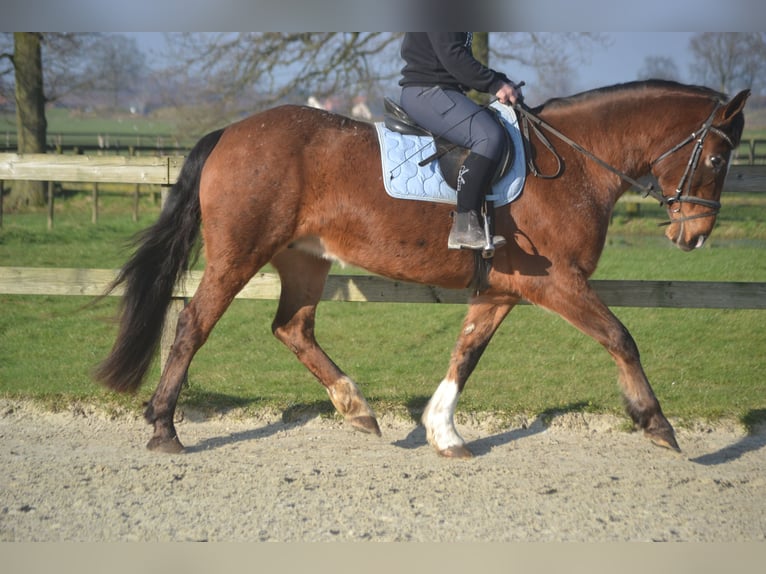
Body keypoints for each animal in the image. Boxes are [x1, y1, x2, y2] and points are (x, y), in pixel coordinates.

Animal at [94, 80, 752, 460]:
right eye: (719, 157)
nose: (693, 234)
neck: (570, 163)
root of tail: (232, 131)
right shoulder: (556, 282)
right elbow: (621, 336)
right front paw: (656, 423)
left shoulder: (504, 289)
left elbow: (467, 351)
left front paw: (444, 432)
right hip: (239, 255)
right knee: (192, 326)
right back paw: (164, 429)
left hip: (304, 259)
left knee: (292, 328)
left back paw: (356, 408)